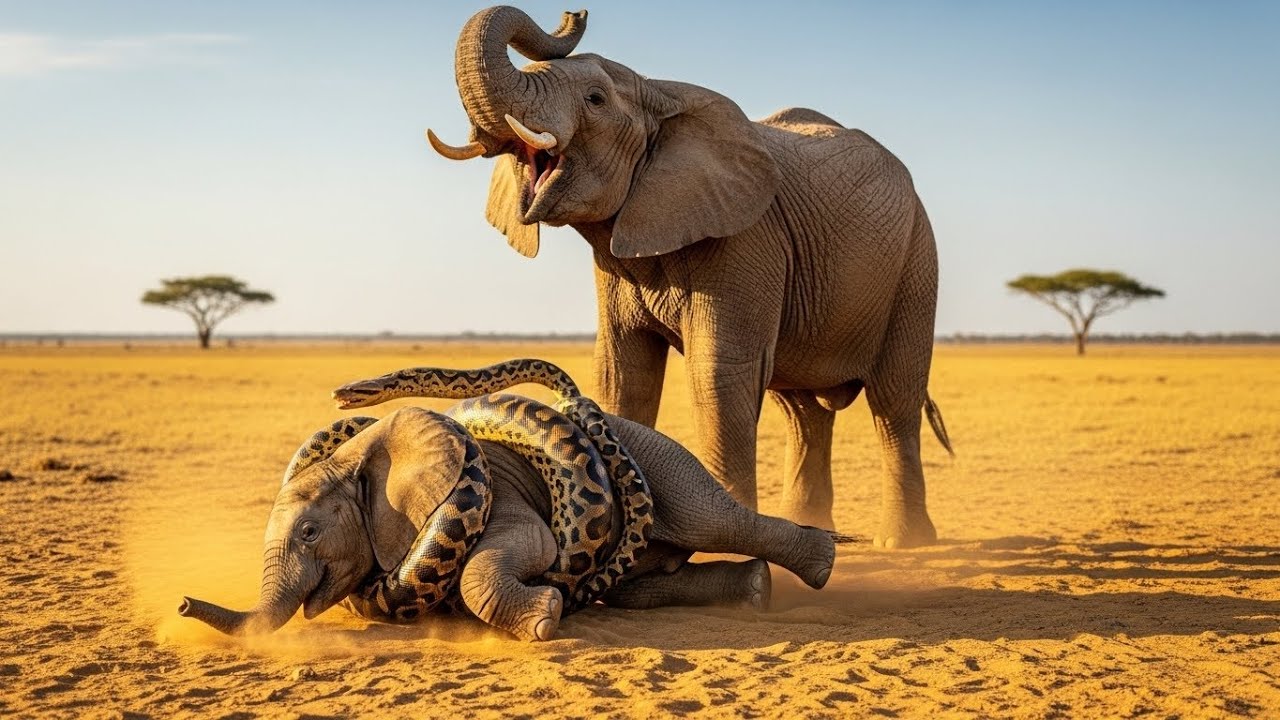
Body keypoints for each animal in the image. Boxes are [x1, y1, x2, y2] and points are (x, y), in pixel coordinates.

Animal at [179, 371, 839, 642]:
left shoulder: (493, 490)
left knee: (720, 520)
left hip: (662, 459)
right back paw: (755, 590)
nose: (182, 603)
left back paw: (821, 562)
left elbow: (507, 557)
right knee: (642, 586)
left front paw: (543, 616)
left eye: (311, 533)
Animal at [425, 6, 953, 548]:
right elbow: (622, 372)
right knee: (803, 411)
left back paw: (904, 542)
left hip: (916, 257)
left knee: (894, 399)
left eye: (594, 100)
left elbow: (717, 373)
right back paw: (815, 525)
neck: (656, 91)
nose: (576, 13)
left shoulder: (746, 237)